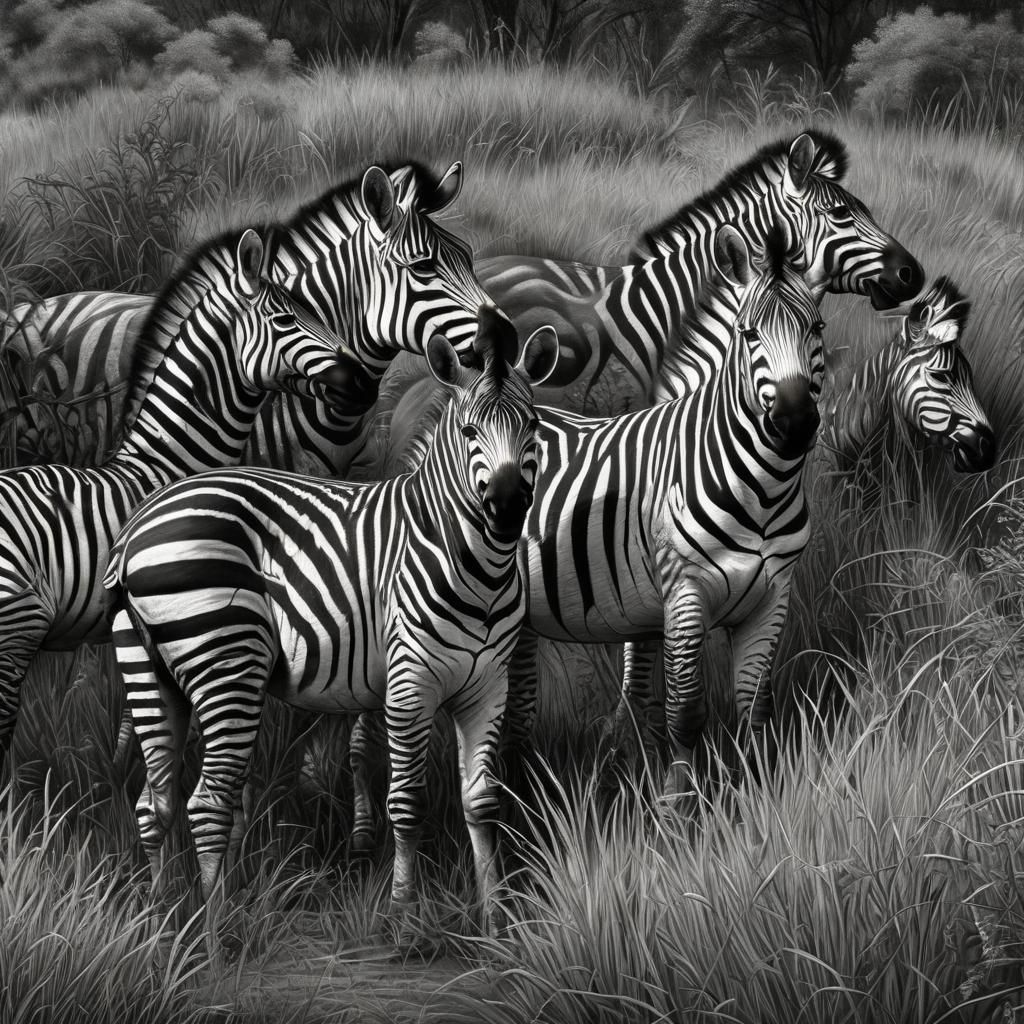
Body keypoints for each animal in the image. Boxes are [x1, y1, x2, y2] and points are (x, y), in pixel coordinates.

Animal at [102, 308, 559, 945]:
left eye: (533, 428)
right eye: (470, 432)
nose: (510, 505)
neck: (478, 567)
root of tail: (140, 524)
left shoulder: (487, 686)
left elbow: (482, 803)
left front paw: (495, 920)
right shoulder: (409, 683)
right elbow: (407, 803)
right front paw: (403, 916)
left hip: (150, 672)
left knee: (155, 802)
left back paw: (159, 921)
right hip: (228, 665)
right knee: (207, 802)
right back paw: (217, 933)